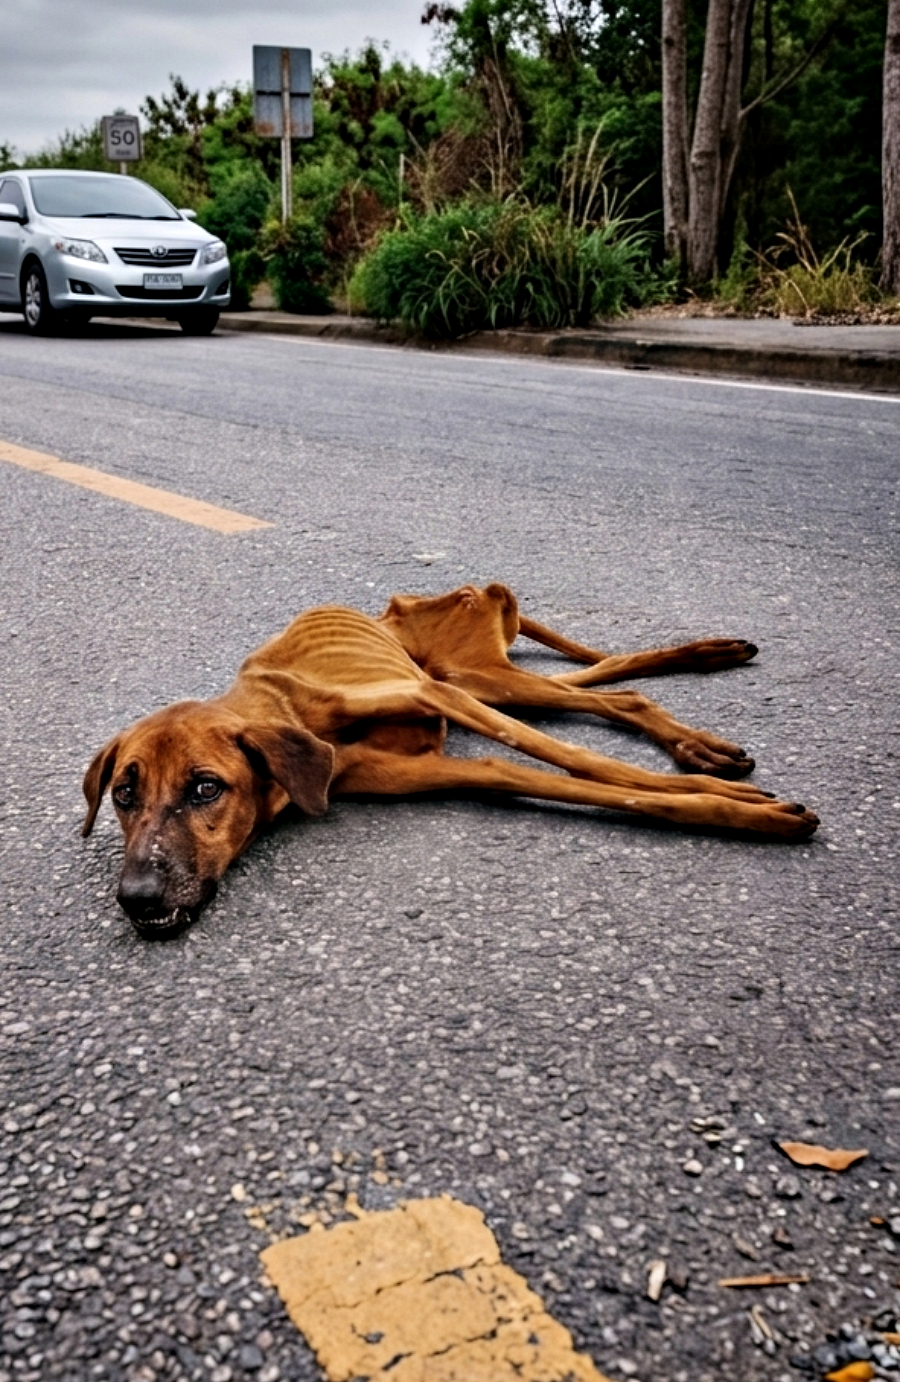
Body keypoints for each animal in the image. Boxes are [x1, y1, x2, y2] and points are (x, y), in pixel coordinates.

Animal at [82, 582, 818, 933]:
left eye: (206, 788)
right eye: (123, 794)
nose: (137, 900)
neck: (276, 710)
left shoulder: (432, 695)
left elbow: (581, 760)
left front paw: (749, 809)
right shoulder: (439, 765)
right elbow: (551, 775)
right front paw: (732, 807)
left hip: (471, 679)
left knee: (611, 700)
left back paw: (703, 730)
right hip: (482, 680)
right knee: (611, 686)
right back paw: (703, 690)